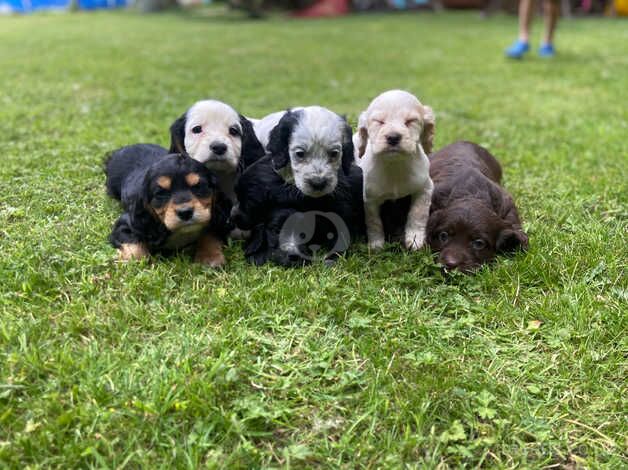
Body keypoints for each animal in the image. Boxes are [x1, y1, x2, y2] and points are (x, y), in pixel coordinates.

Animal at [104, 143, 232, 266]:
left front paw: (210, 257)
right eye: (161, 193)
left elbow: (210, 234)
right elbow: (135, 251)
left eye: (198, 186)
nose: (185, 213)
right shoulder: (125, 226)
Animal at [354, 90, 436, 252]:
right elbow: (374, 222)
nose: (393, 137)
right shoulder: (369, 200)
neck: (395, 165)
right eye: (379, 121)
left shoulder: (425, 188)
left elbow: (418, 213)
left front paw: (415, 238)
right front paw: (376, 244)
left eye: (410, 121)